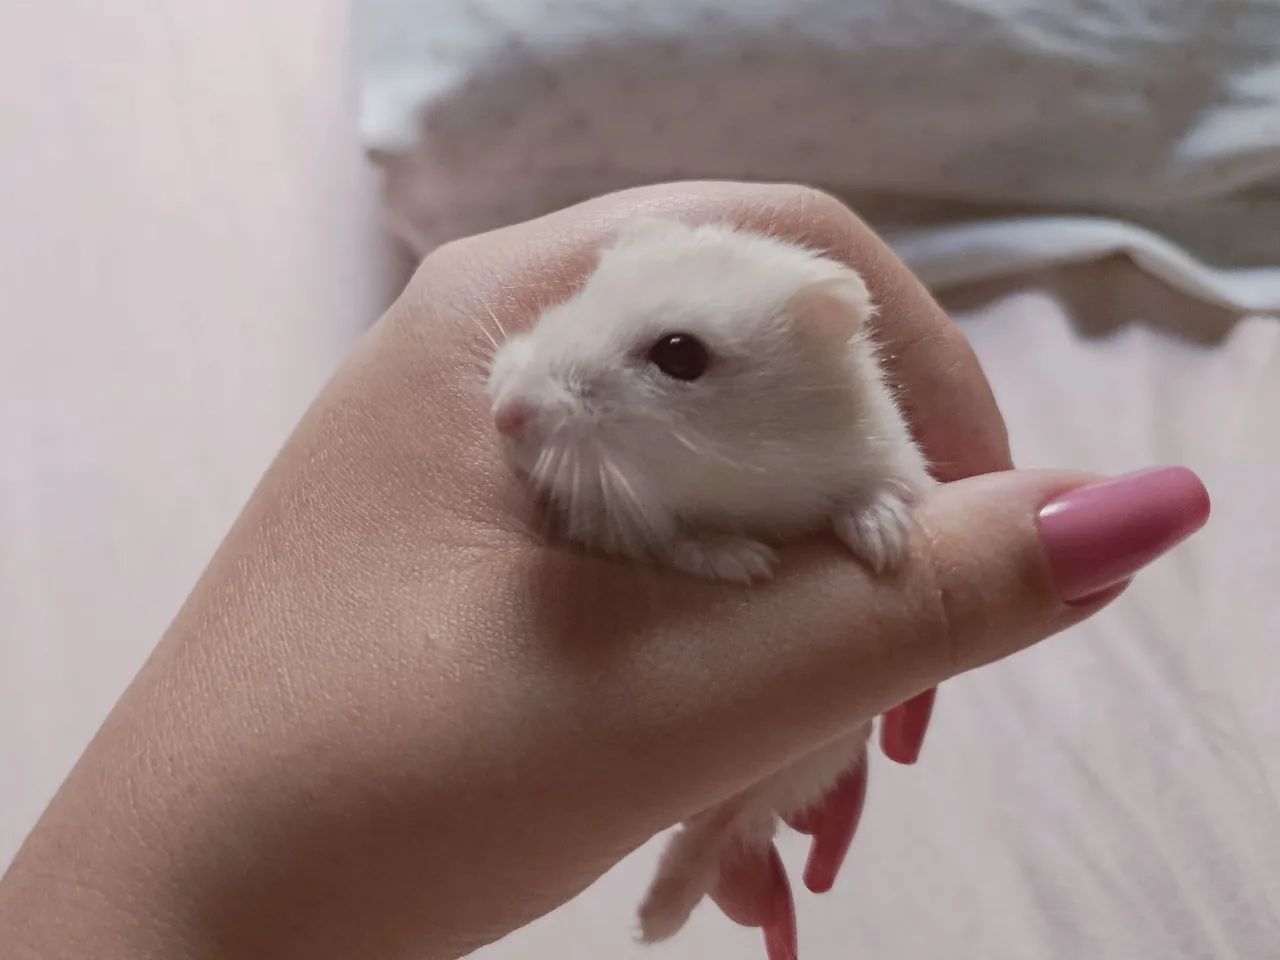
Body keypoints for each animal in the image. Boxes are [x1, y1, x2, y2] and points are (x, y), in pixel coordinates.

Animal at [486, 218, 933, 955]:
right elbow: (678, 543)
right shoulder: (609, 527)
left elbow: (878, 493)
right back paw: (653, 925)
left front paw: (886, 546)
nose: (503, 414)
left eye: (680, 354)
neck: (736, 474)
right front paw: (747, 561)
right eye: (584, 291)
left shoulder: (890, 454)